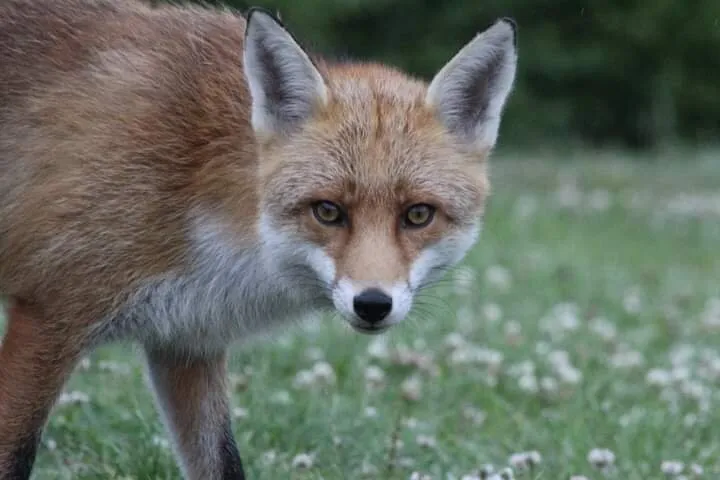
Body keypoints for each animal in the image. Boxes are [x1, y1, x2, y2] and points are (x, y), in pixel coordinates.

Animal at [0, 0, 518, 478]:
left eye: (417, 215)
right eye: (327, 211)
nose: (373, 304)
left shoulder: (186, 340)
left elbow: (223, 463)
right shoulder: (49, 314)